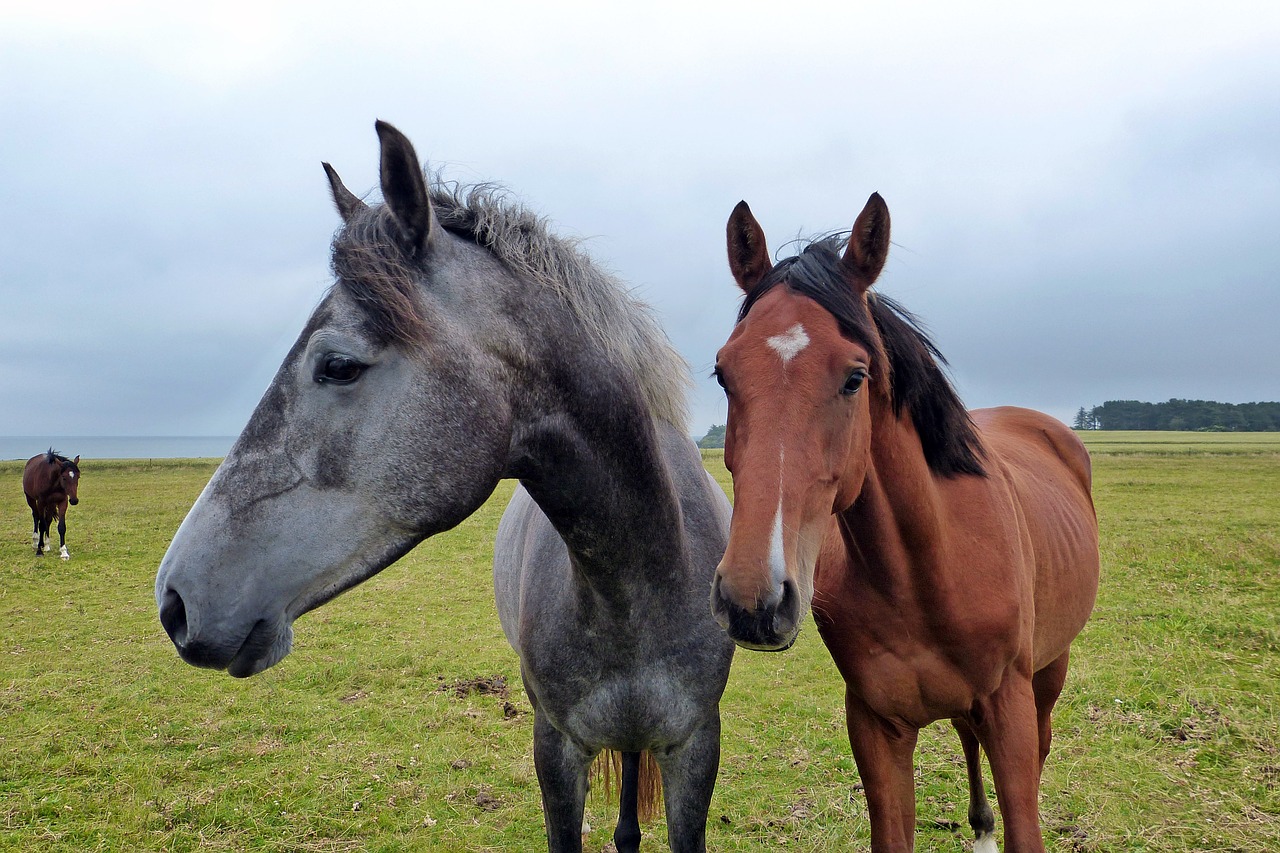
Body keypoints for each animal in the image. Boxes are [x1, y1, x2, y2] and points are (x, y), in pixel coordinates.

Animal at [711, 194, 1100, 850]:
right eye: (722, 373)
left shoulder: (1011, 711)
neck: (927, 570)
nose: (752, 600)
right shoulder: (876, 725)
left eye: (855, 377)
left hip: (1050, 674)